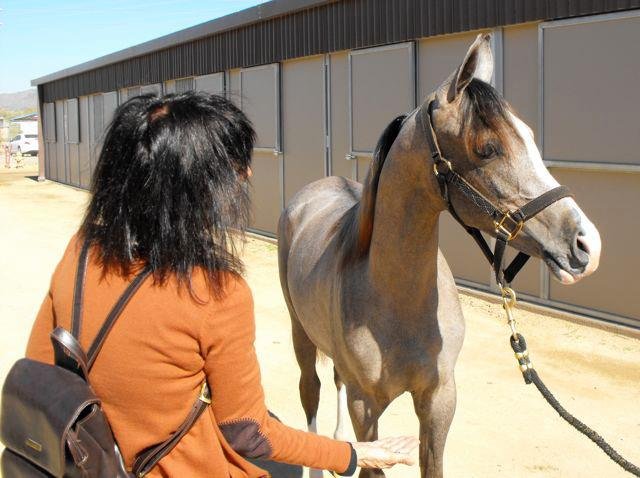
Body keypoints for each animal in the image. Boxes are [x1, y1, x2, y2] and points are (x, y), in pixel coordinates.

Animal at [277, 33, 601, 478]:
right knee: (310, 391)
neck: (396, 300)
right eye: (486, 148)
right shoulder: (366, 408)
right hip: (301, 333)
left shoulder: (439, 400)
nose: (586, 244)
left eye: (530, 136)